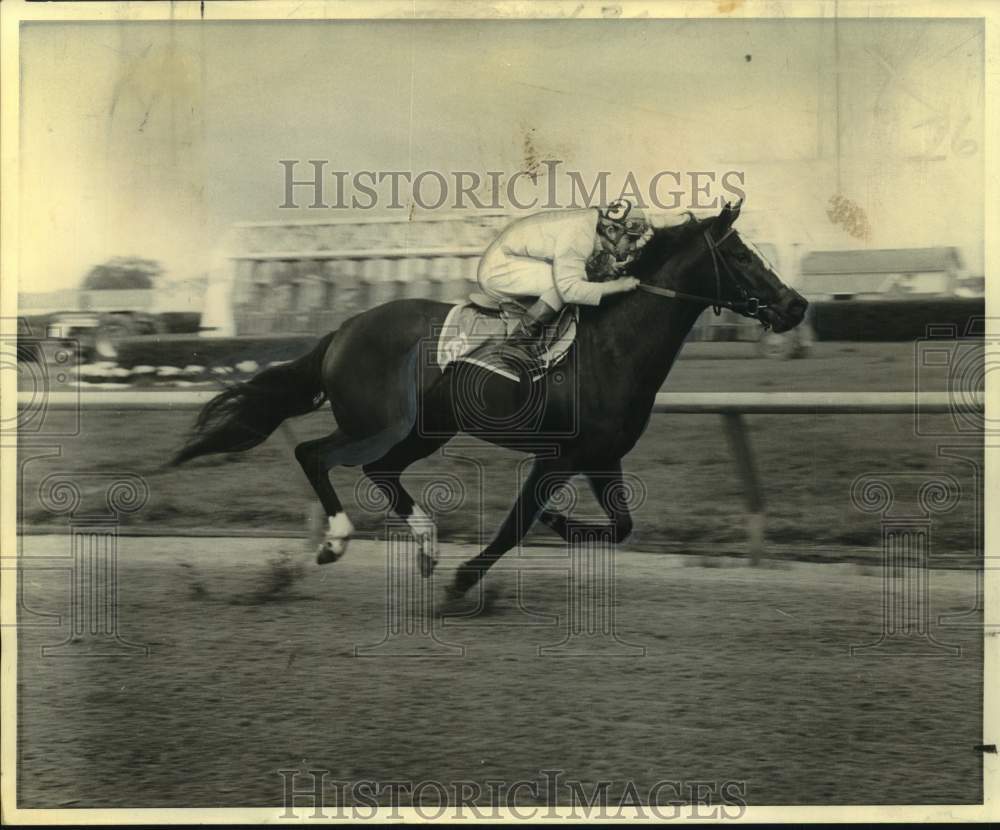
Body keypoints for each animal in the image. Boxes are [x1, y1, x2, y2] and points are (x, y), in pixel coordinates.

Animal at [174, 206, 804, 600]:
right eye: (742, 256)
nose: (795, 306)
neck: (611, 346)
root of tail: (343, 330)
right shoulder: (557, 456)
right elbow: (514, 524)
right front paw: (465, 579)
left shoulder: (603, 454)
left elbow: (621, 525)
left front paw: (560, 523)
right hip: (379, 423)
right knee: (314, 454)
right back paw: (337, 541)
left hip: (425, 431)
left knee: (379, 471)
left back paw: (426, 545)